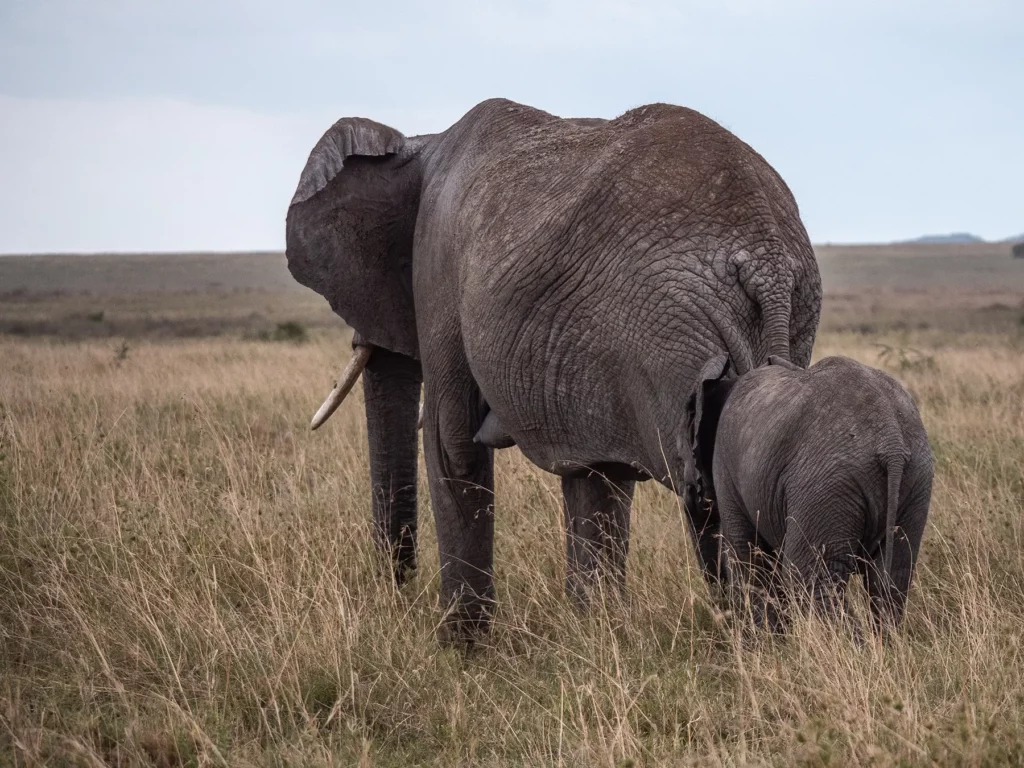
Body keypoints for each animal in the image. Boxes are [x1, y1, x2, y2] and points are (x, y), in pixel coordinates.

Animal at [285, 98, 822, 637]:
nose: (394, 591)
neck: (420, 146)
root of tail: (768, 264)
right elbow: (596, 476)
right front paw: (596, 630)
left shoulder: (437, 267)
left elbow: (451, 444)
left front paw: (462, 645)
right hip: (778, 319)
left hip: (676, 329)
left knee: (704, 492)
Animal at [687, 354, 933, 633]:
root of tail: (891, 441)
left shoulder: (726, 466)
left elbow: (746, 555)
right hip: (916, 480)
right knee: (893, 578)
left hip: (827, 484)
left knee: (809, 578)